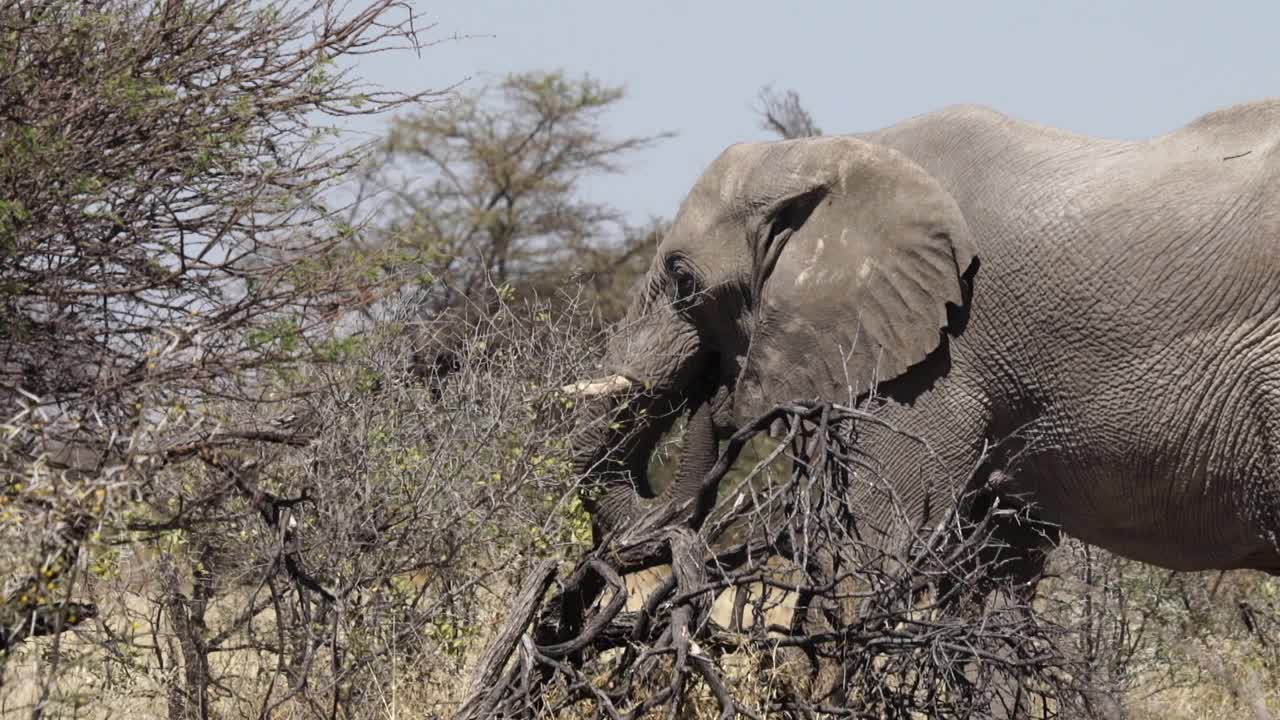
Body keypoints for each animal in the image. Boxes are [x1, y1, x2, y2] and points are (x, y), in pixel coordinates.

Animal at [573, 94, 1280, 594]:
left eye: (683, 280)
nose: (714, 407)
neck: (837, 152)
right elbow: (993, 579)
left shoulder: (934, 366)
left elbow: (866, 554)